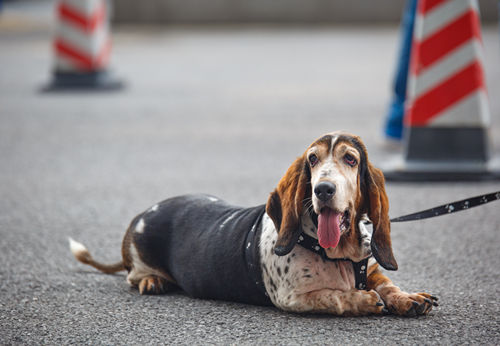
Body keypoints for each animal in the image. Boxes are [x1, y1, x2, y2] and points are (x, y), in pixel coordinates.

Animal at [69, 132, 438, 316]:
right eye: (312, 159)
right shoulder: (293, 298)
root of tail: (143, 214)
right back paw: (151, 281)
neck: (334, 252)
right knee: (132, 274)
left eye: (350, 158)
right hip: (139, 258)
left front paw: (408, 298)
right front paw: (362, 300)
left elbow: (387, 284)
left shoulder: (370, 267)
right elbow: (334, 297)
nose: (323, 189)